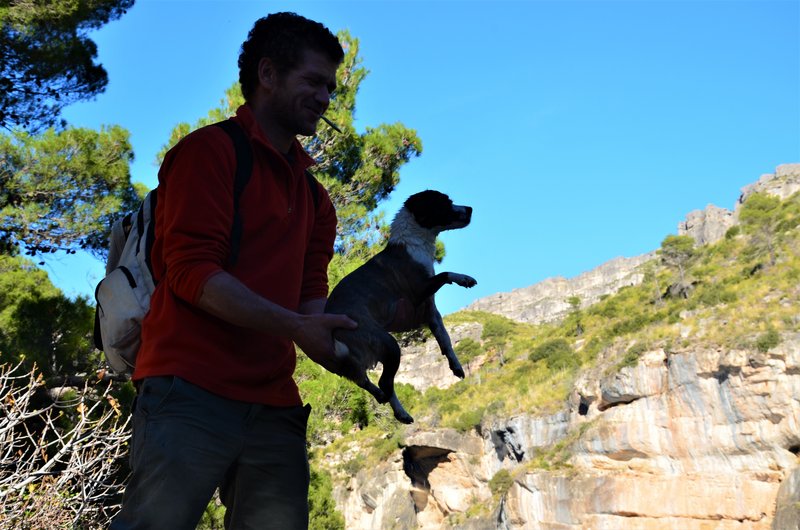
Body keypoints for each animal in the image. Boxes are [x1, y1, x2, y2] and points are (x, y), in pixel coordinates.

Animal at [324, 190, 476, 420]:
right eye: (445, 202)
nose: (470, 209)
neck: (413, 243)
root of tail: (336, 335)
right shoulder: (418, 292)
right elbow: (444, 273)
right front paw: (464, 278)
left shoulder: (431, 313)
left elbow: (445, 340)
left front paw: (456, 365)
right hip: (389, 344)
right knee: (384, 382)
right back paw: (398, 410)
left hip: (363, 360)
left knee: (366, 381)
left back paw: (392, 405)